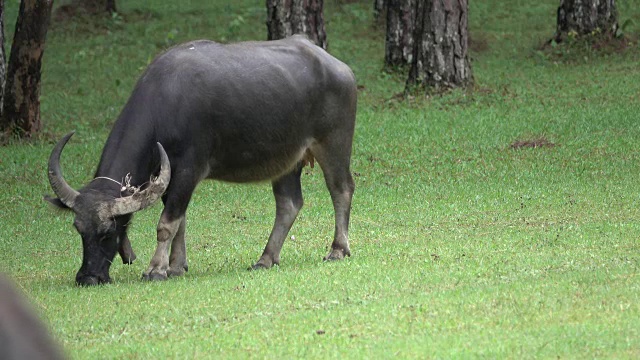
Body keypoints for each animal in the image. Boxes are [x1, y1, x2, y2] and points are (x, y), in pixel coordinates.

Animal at [47, 35, 358, 286]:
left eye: (108, 231)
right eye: (79, 229)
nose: (87, 277)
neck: (166, 104)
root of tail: (340, 68)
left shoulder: (188, 170)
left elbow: (167, 223)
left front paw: (155, 269)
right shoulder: (169, 176)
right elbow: (180, 221)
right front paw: (176, 266)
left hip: (333, 144)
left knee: (341, 189)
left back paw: (337, 249)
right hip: (287, 160)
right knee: (289, 204)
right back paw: (266, 258)